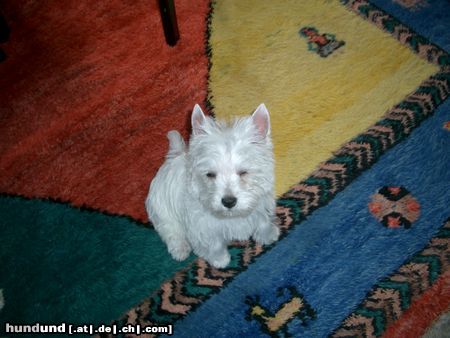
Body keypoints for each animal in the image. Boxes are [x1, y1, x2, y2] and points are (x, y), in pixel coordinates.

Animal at [145, 104, 278, 268]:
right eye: (210, 174)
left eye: (243, 172)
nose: (228, 202)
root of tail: (171, 158)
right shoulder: (202, 227)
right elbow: (214, 245)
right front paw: (220, 260)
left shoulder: (260, 206)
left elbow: (263, 222)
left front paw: (269, 236)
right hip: (162, 212)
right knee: (171, 232)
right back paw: (180, 250)